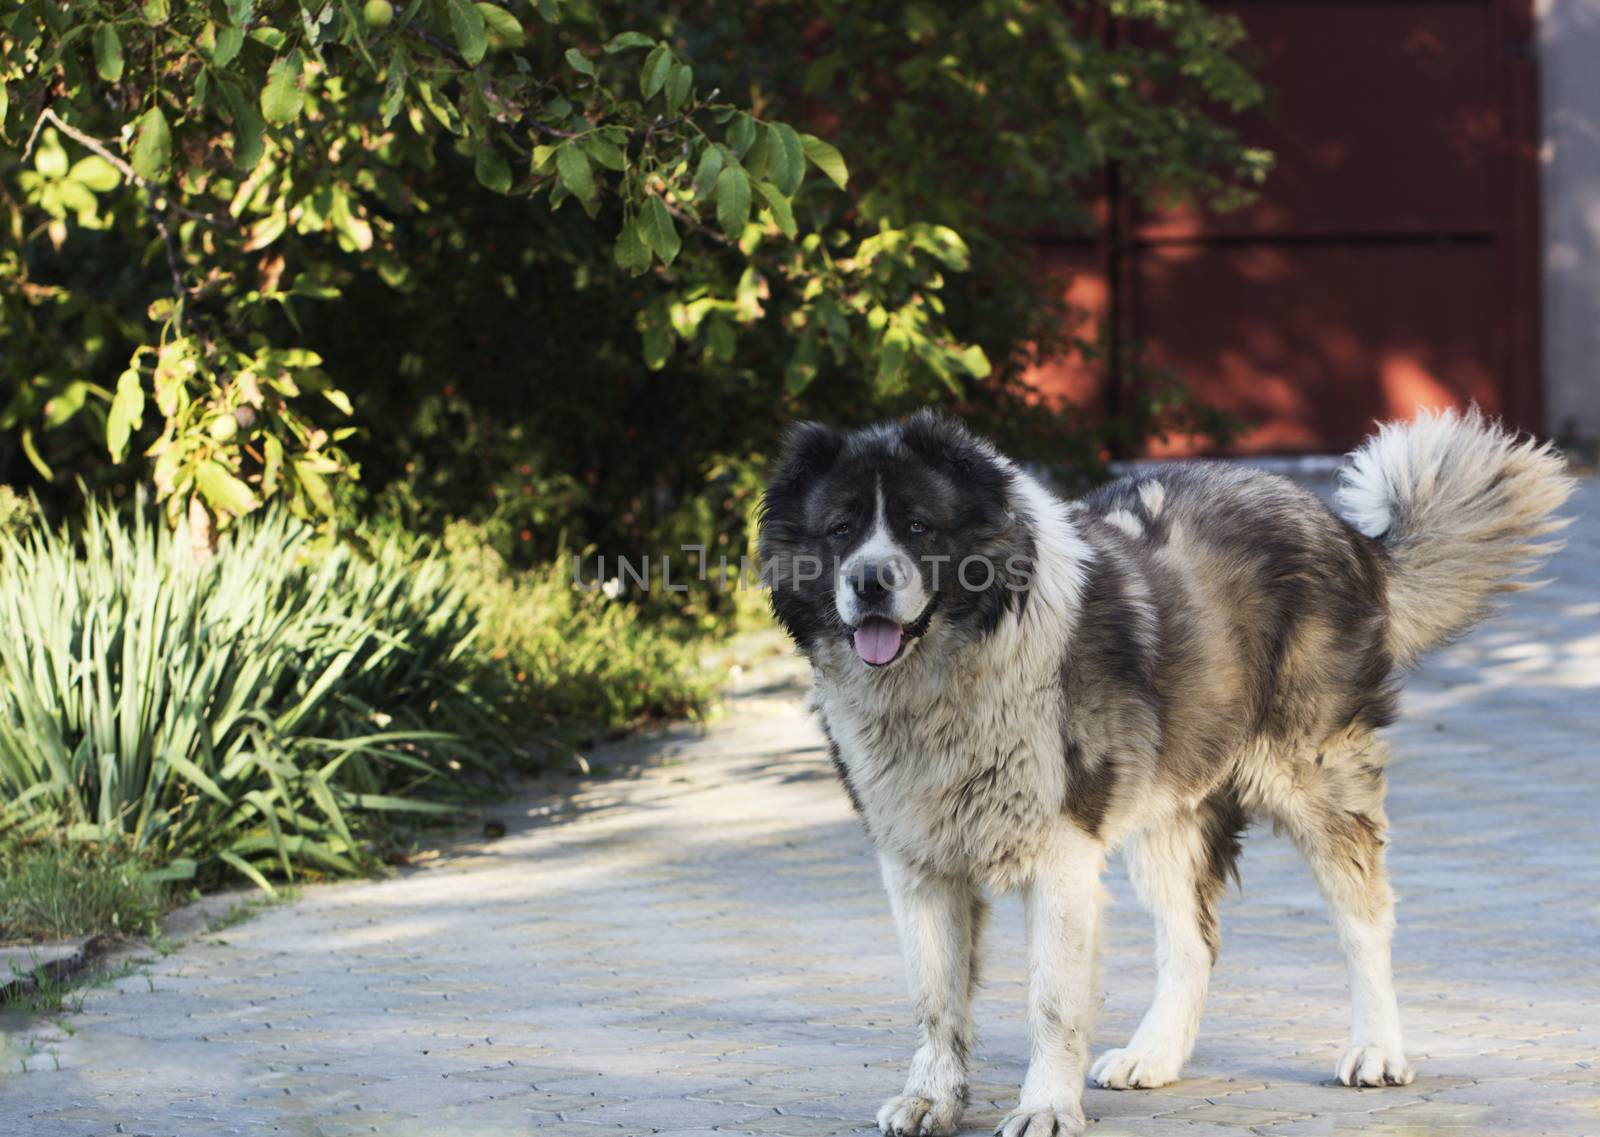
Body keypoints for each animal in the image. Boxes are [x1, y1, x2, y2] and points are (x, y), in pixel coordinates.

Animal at [755, 409, 1568, 1137]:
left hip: (1315, 780)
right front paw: (932, 1099)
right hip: (1171, 810)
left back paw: (1376, 1048)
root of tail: (1344, 531)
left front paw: (1045, 1108)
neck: (951, 670)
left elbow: (1051, 1001)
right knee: (1193, 940)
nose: (869, 580)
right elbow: (935, 997)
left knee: (1363, 916)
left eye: (919, 527)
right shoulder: (916, 862)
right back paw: (1155, 1054)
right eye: (841, 530)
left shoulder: (1061, 857)